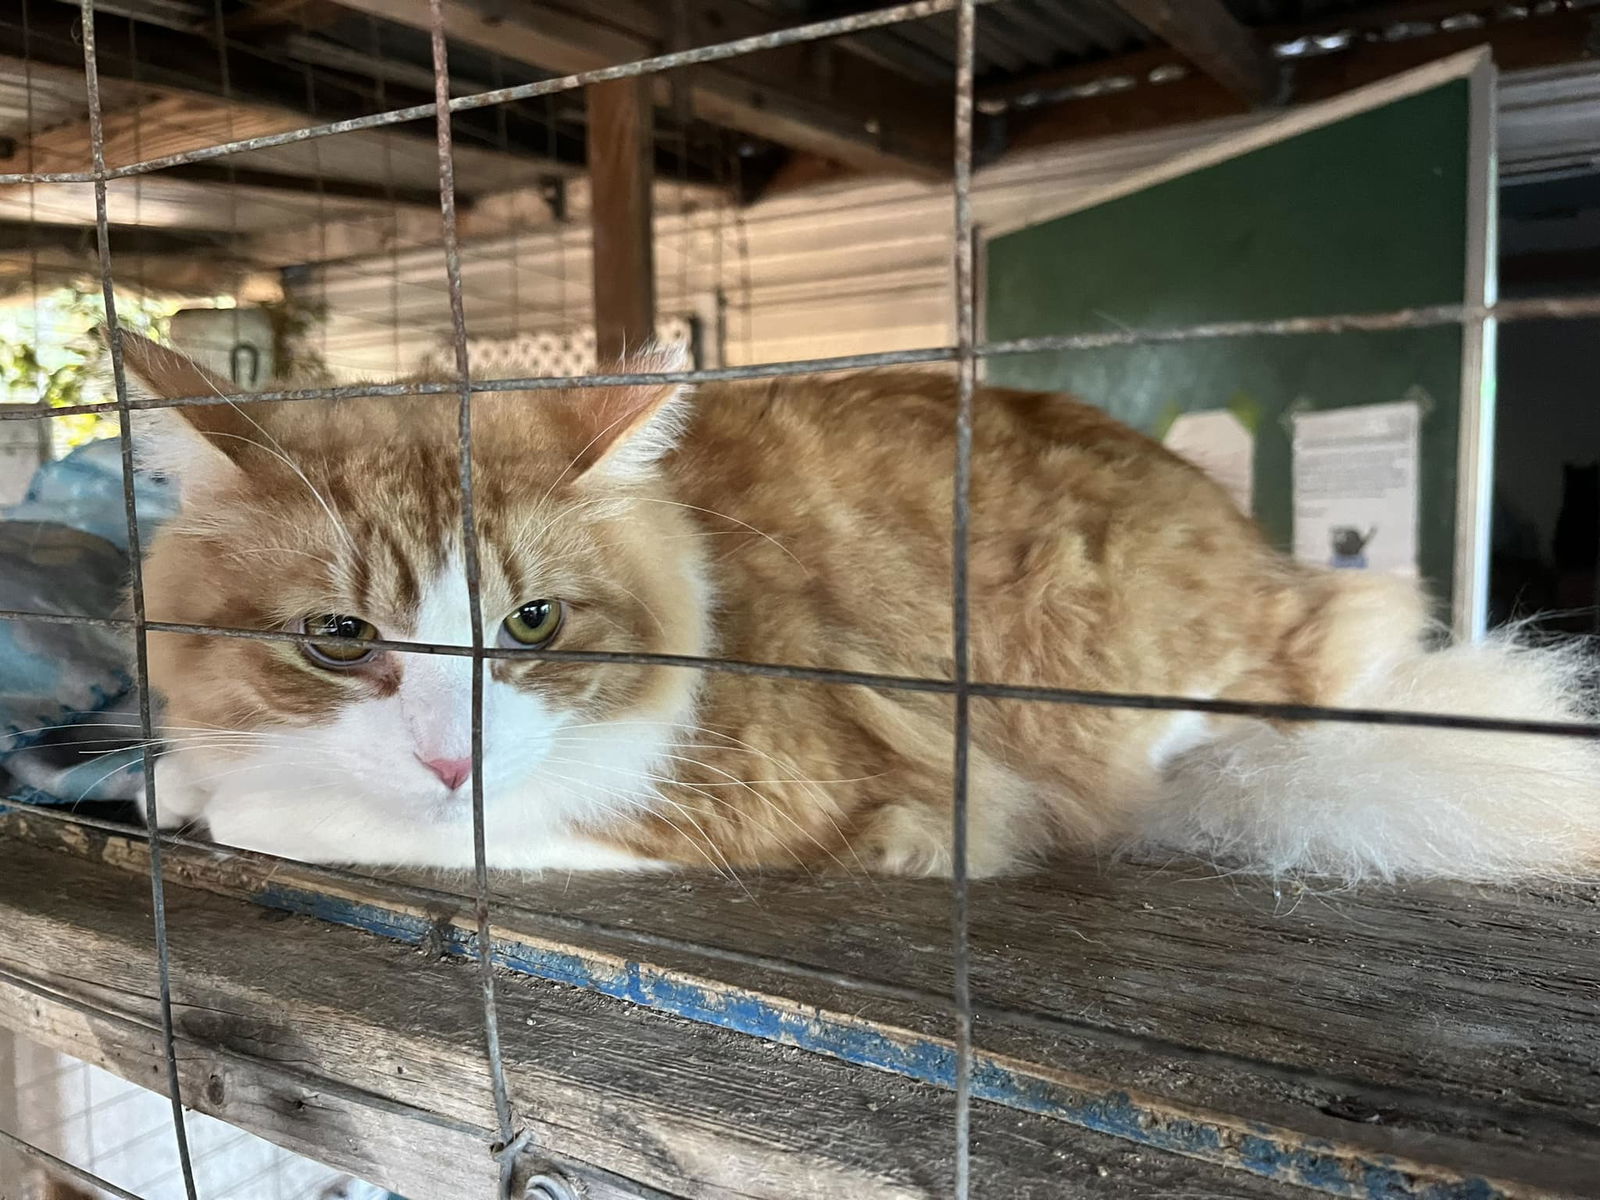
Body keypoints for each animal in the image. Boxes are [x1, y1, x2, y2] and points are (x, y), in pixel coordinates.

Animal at [124, 336, 1600, 883]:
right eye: (340, 639)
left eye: (532, 625)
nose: (450, 759)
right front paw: (183, 775)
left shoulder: (773, 789)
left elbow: (370, 823)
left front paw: (247, 802)